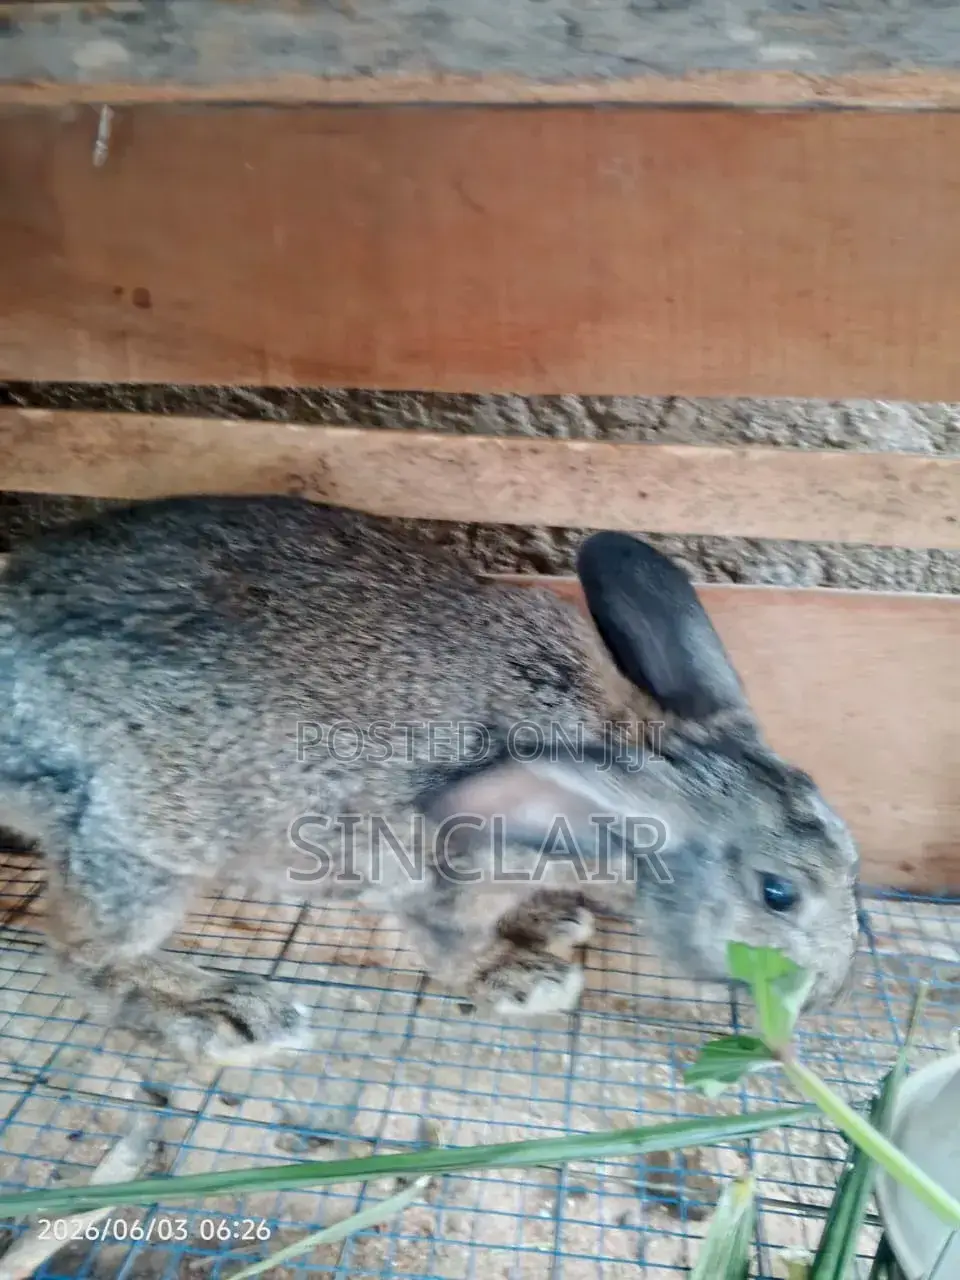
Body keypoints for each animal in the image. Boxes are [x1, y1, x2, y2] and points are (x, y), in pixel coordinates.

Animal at [0, 494, 861, 1070]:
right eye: (778, 894)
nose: (830, 992)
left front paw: (553, 921)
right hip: (140, 843)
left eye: (851, 855)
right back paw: (225, 1010)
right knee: (79, 949)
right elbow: (452, 952)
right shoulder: (435, 883)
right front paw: (523, 979)